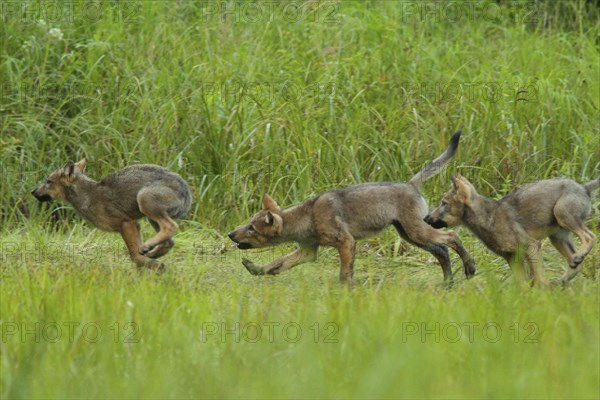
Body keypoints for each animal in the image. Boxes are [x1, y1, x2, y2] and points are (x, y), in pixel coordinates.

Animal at [31, 161, 192, 270]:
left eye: (49, 182)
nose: (33, 191)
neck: (87, 196)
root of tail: (187, 192)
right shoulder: (135, 224)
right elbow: (136, 256)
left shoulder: (126, 223)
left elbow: (134, 256)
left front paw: (154, 266)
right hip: (151, 218)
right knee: (169, 241)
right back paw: (151, 252)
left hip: (144, 200)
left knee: (171, 227)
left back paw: (148, 248)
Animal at [227, 130, 476, 282]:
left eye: (252, 228)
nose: (230, 234)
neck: (306, 218)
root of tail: (411, 183)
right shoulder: (308, 251)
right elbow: (276, 265)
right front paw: (254, 269)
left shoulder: (346, 243)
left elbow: (344, 275)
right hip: (410, 235)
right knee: (442, 250)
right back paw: (448, 283)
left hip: (417, 233)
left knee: (452, 236)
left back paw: (469, 269)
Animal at [424, 175, 596, 284]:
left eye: (444, 203)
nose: (425, 218)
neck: (488, 219)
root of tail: (584, 187)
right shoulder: (512, 258)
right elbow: (523, 285)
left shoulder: (531, 245)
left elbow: (539, 279)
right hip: (557, 237)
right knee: (577, 263)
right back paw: (565, 276)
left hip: (562, 215)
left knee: (590, 237)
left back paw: (573, 263)